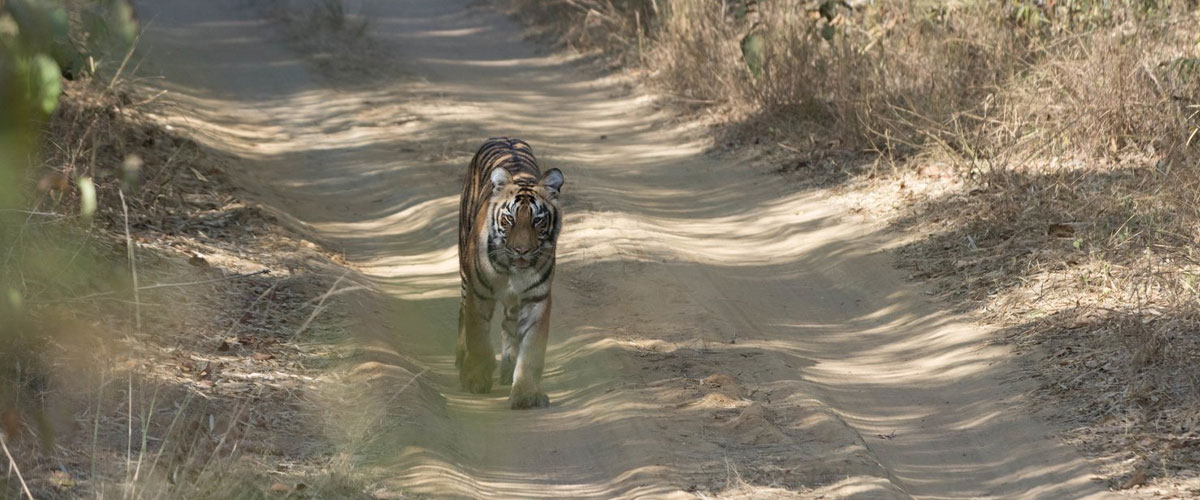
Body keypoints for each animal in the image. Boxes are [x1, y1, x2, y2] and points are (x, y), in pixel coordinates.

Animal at [456, 137, 564, 410]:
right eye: (509, 219)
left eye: (537, 220)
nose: (521, 250)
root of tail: (504, 137)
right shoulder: (479, 293)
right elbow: (478, 337)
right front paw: (476, 378)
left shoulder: (536, 299)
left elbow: (532, 349)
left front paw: (526, 393)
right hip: (464, 273)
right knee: (462, 313)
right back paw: (461, 359)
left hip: (514, 303)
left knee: (509, 324)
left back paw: (507, 368)